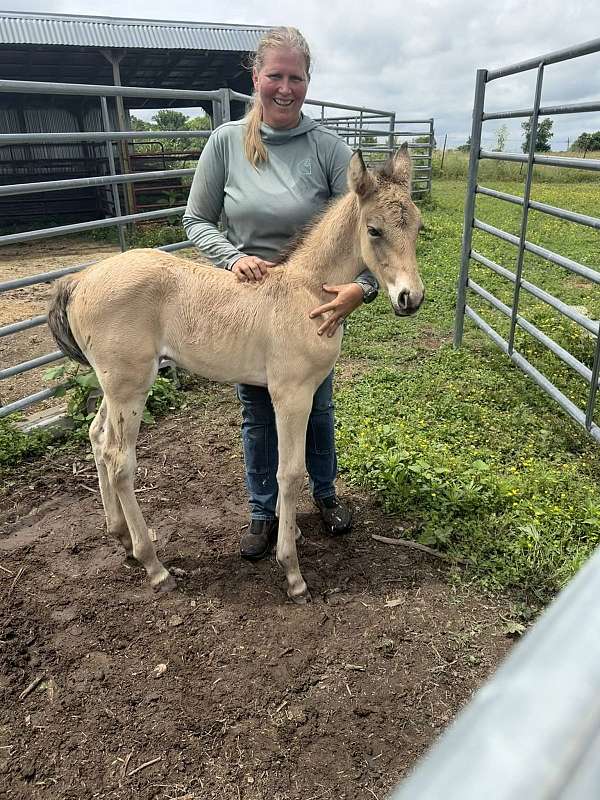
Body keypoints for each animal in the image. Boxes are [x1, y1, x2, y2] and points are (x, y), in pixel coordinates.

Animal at [47, 146, 424, 604]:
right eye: (374, 230)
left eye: (418, 226)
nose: (410, 298)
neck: (305, 293)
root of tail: (79, 279)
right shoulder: (292, 393)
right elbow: (289, 472)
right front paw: (292, 571)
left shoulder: (293, 392)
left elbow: (284, 466)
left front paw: (290, 531)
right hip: (129, 386)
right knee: (120, 460)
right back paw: (155, 566)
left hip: (114, 385)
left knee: (98, 439)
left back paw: (120, 538)